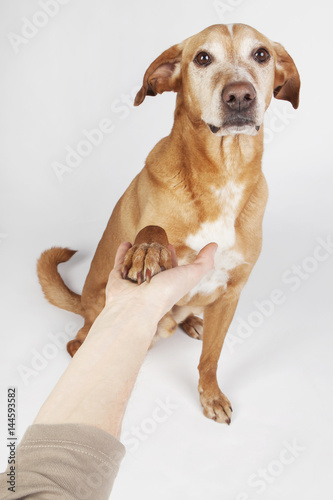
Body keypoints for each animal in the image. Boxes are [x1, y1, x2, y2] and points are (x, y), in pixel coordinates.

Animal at [37, 22, 300, 422]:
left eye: (261, 54)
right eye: (202, 58)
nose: (240, 95)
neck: (223, 173)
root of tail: (83, 302)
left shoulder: (230, 295)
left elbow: (211, 358)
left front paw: (210, 394)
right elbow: (153, 229)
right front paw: (149, 250)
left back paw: (191, 321)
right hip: (133, 323)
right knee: (78, 341)